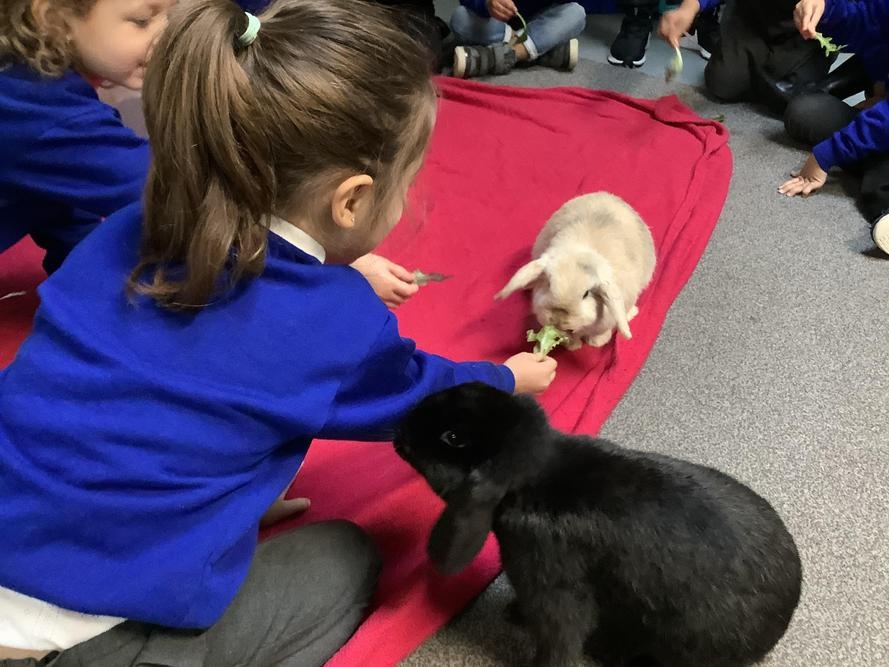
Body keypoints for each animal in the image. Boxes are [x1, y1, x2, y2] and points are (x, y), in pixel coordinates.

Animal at [394, 383, 802, 667]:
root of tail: (778, 629)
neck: (536, 479)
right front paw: (513, 613)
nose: (400, 430)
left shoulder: (553, 584)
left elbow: (559, 638)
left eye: (452, 437)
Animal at [496, 192, 656, 350]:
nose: (558, 320)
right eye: (548, 284)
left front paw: (597, 342)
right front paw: (573, 345)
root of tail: (605, 194)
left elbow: (601, 331)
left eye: (586, 294)